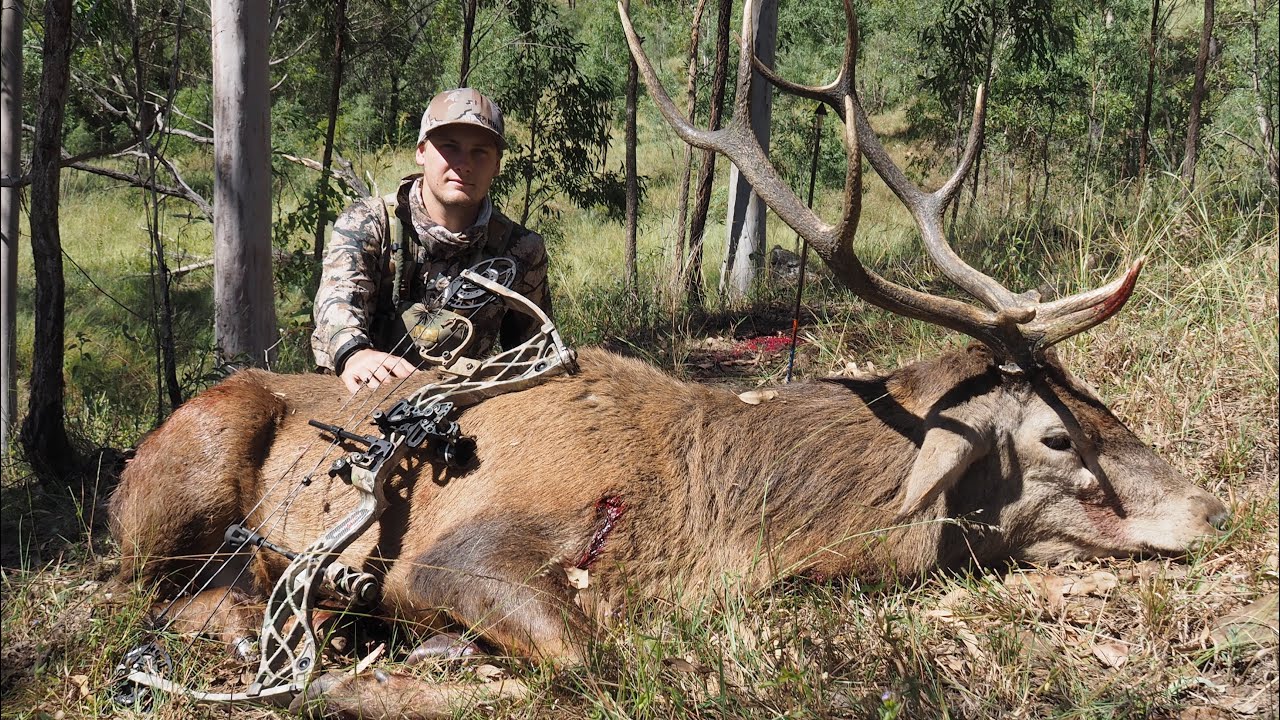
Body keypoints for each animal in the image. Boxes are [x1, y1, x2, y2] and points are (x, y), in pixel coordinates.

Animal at [107, 1, 1229, 717]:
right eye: (1055, 437)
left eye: (1100, 397)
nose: (1210, 509)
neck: (716, 522)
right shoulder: (455, 551)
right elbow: (588, 660)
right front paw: (362, 680)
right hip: (181, 479)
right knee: (144, 593)